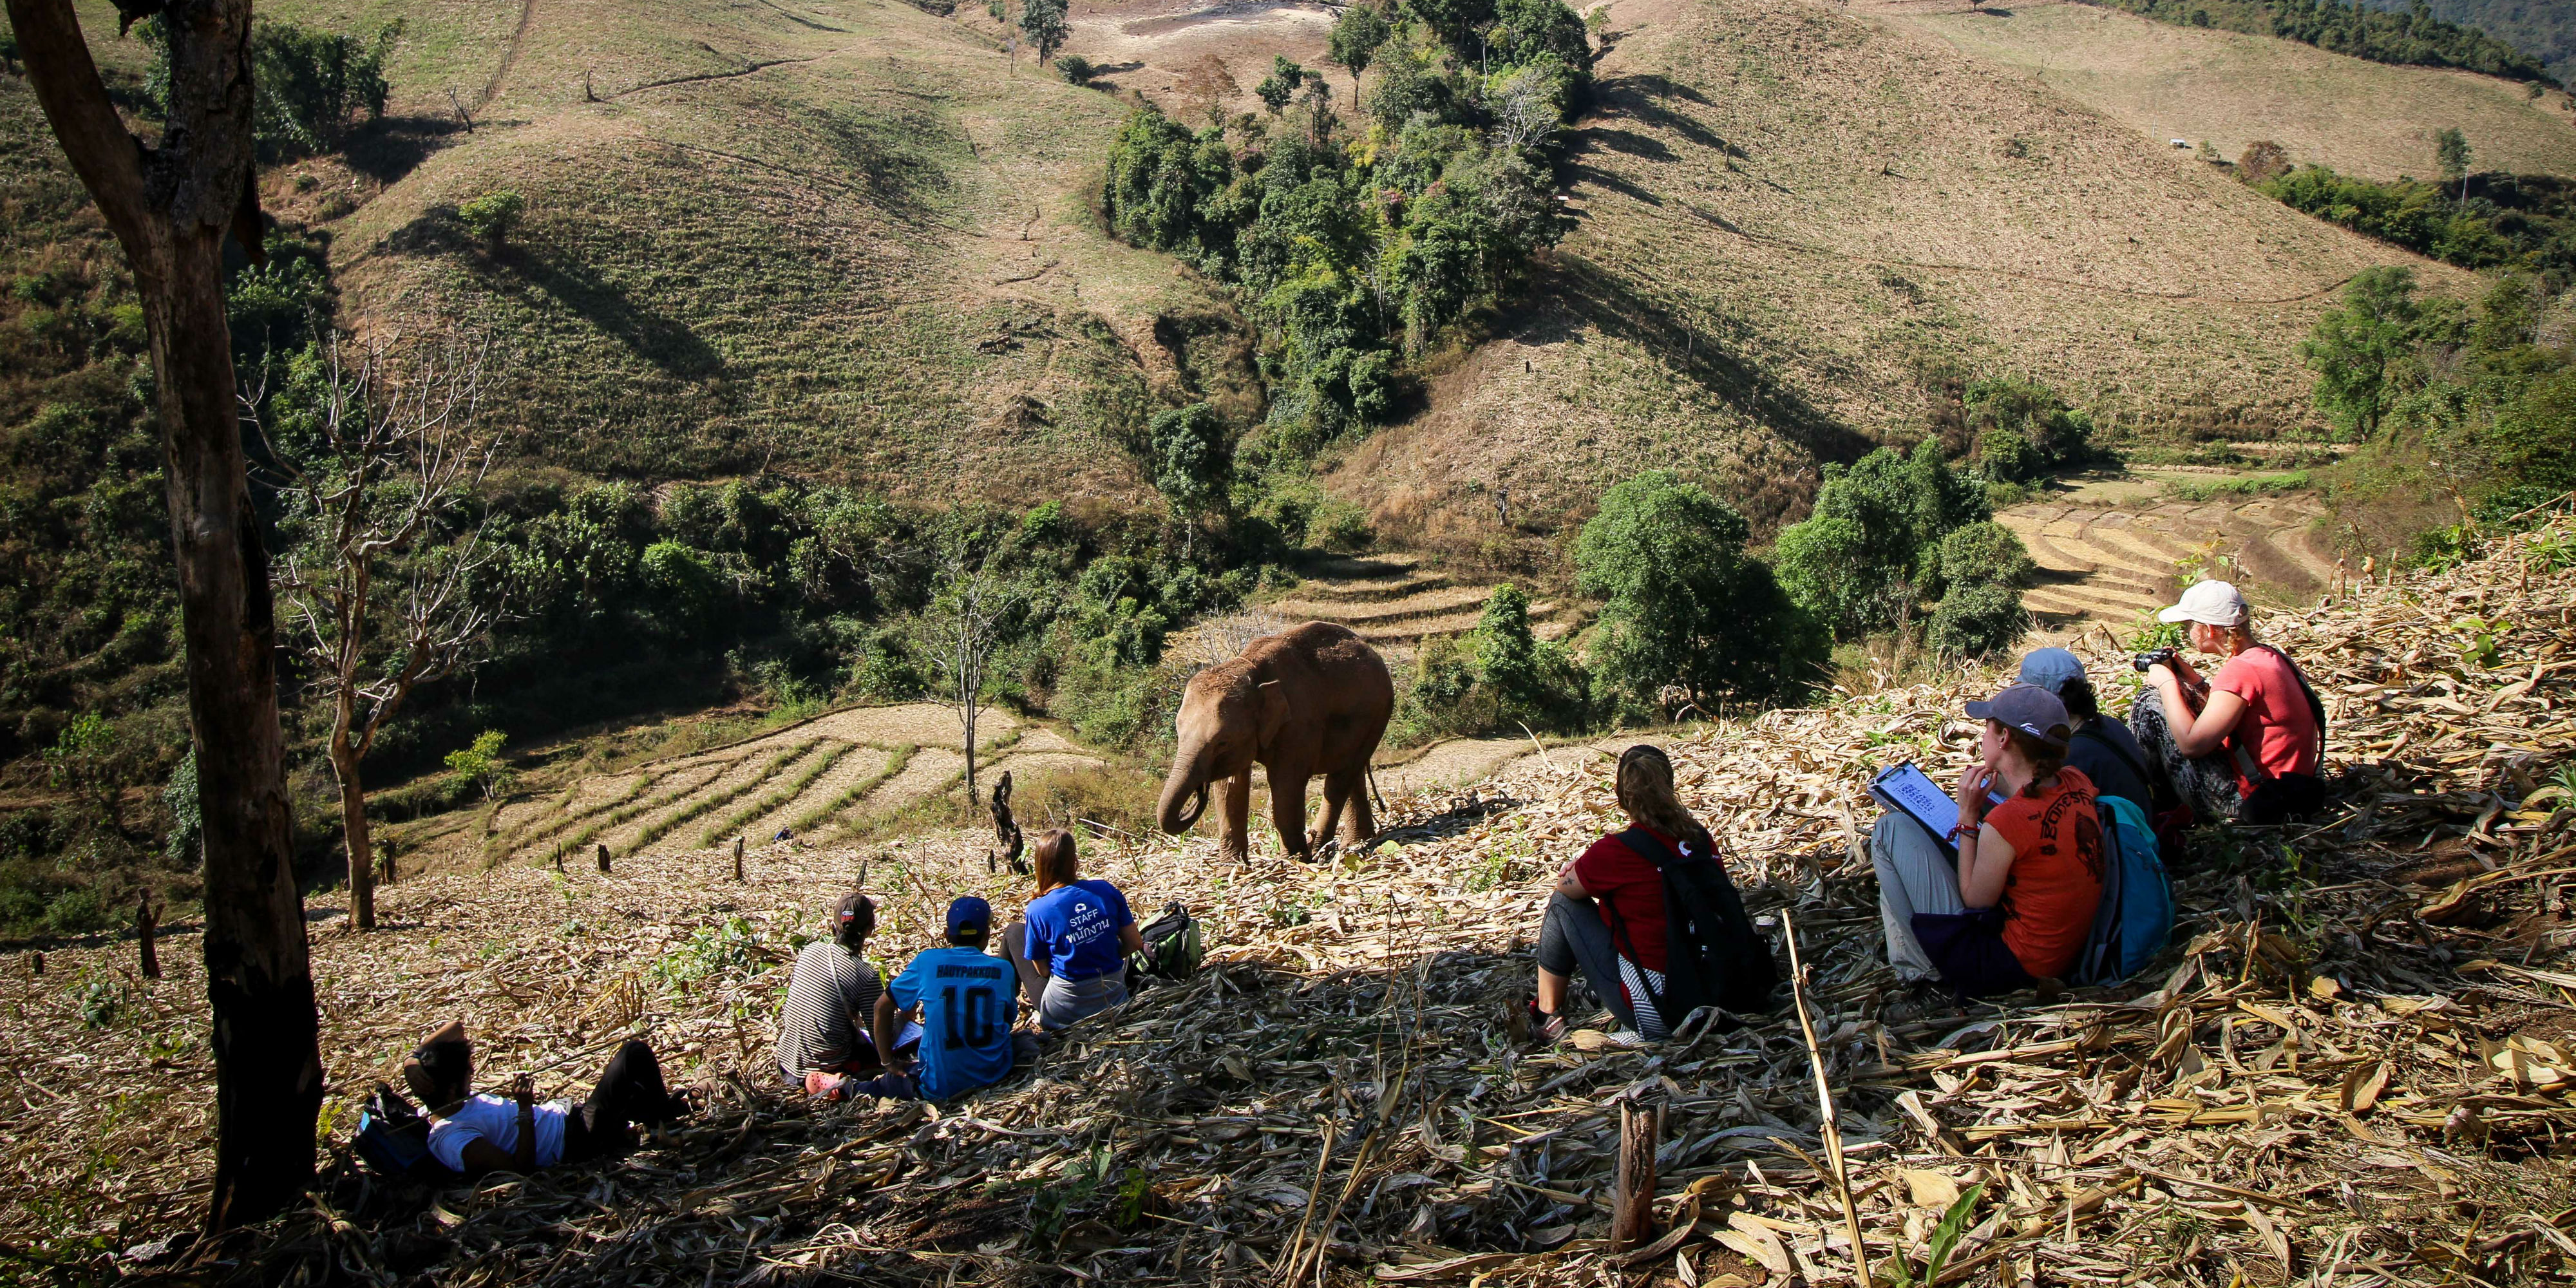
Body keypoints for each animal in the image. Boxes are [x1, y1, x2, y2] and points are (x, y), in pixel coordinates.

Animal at [1170, 623, 1401, 866]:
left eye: (1222, 742)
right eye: (1179, 733)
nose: (1199, 790)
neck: (1250, 668)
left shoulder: (1299, 723)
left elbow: (1286, 781)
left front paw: (1291, 861)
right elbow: (1230, 787)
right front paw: (1231, 869)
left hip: (1379, 714)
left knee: (1341, 777)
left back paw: (1319, 848)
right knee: (1351, 772)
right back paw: (1354, 843)